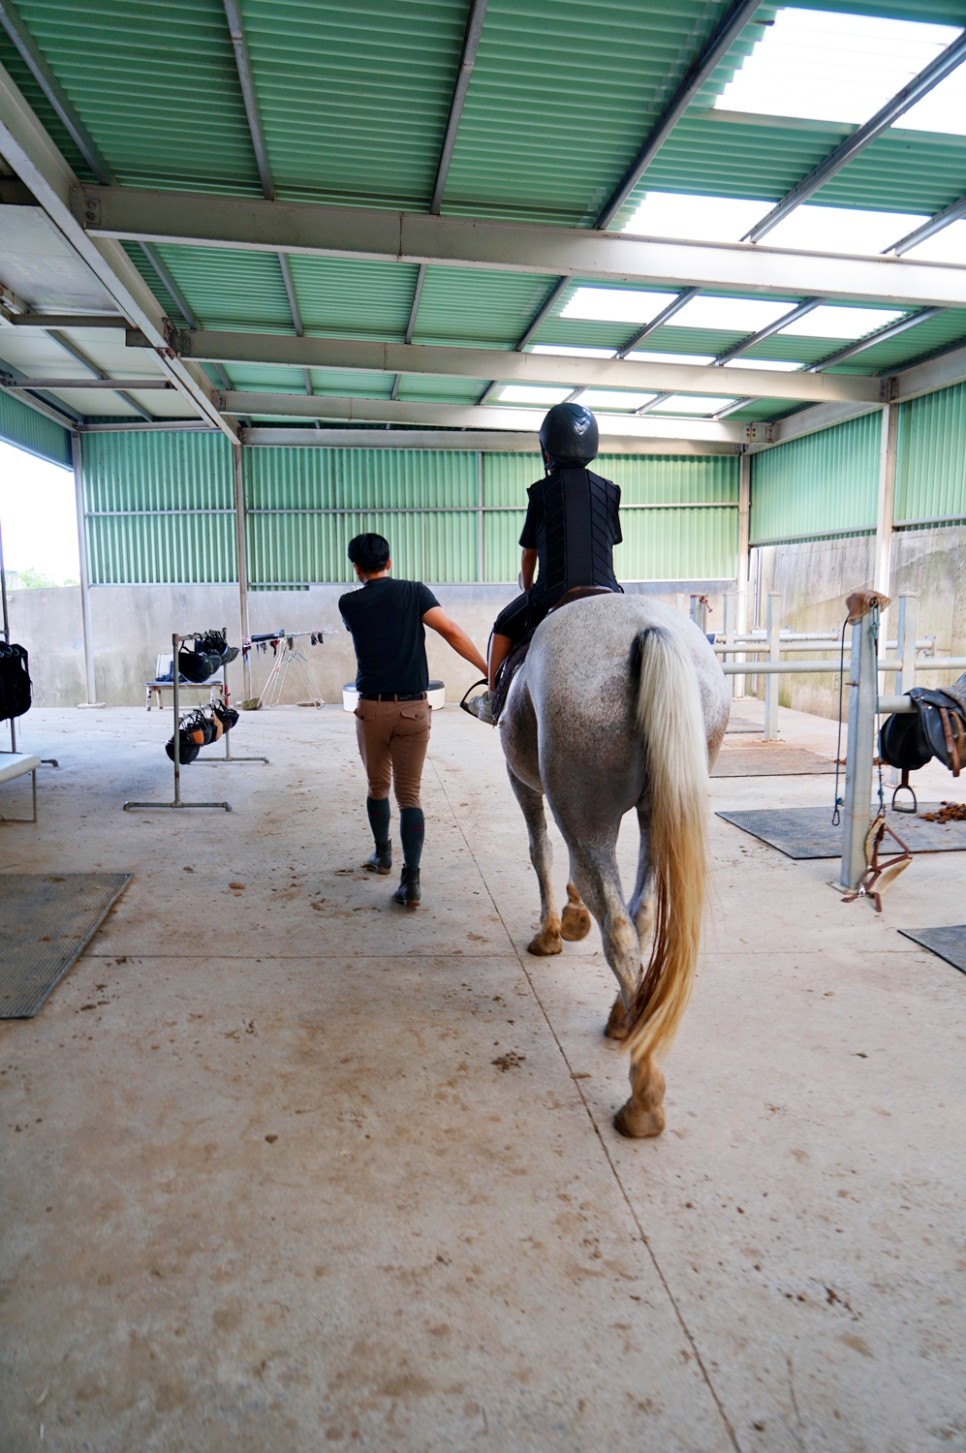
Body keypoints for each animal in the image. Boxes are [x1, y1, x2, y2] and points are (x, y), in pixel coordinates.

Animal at [499, 592, 726, 1133]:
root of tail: (644, 629)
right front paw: (572, 916)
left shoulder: (523, 782)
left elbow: (540, 850)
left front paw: (551, 932)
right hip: (656, 811)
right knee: (638, 912)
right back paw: (628, 1018)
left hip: (586, 812)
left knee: (617, 924)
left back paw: (642, 1092)